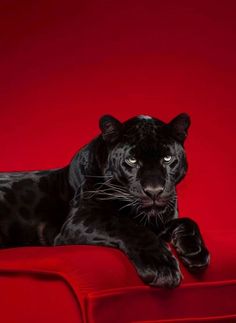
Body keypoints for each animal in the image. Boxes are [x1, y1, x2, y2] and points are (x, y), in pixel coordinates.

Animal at [0, 114, 208, 288]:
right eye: (132, 160)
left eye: (167, 158)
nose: (154, 191)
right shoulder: (81, 218)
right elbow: (126, 225)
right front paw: (161, 267)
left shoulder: (161, 222)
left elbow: (188, 221)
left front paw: (195, 252)